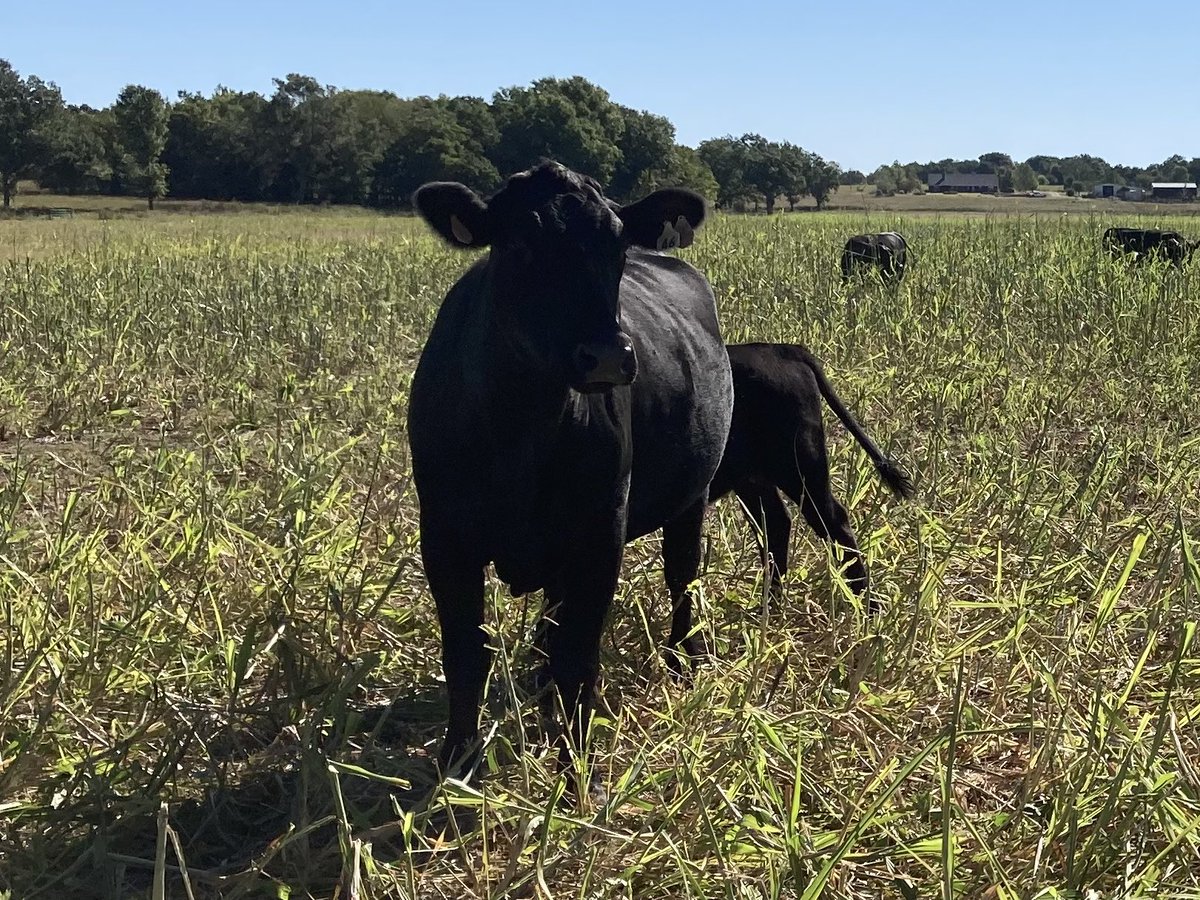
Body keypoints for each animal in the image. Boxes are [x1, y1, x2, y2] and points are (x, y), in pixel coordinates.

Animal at [407, 161, 734, 795]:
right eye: (519, 244)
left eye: (618, 243)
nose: (605, 356)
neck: (521, 430)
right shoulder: (444, 537)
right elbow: (466, 656)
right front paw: (457, 768)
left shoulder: (599, 531)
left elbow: (578, 655)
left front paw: (579, 774)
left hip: (692, 495)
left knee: (682, 576)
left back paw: (683, 659)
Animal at [663, 343, 913, 667]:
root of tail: (783, 349)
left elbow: (680, 572)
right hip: (753, 477)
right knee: (776, 524)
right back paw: (770, 610)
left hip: (800, 466)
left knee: (834, 523)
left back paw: (868, 608)